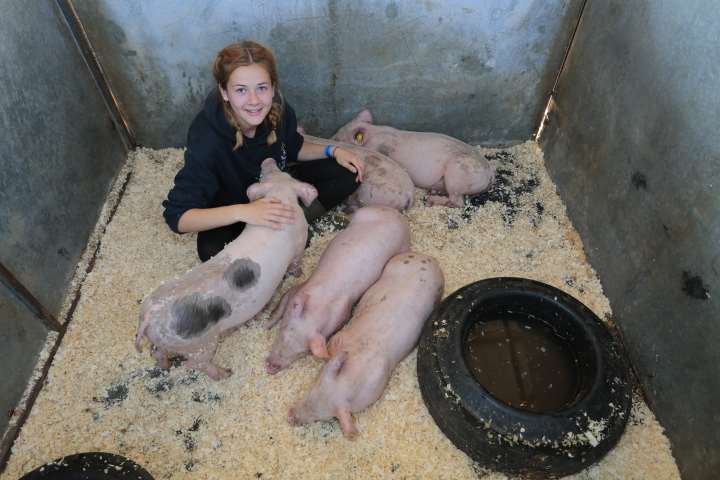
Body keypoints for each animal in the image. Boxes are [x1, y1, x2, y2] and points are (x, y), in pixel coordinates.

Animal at [135, 159, 316, 380]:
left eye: (279, 173)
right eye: (271, 175)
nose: (269, 160)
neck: (280, 196)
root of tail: (148, 317)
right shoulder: (299, 244)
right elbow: (296, 263)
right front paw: (298, 274)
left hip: (164, 340)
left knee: (156, 351)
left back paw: (166, 365)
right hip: (201, 345)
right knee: (195, 364)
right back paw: (226, 373)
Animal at [264, 204, 410, 374]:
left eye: (302, 352)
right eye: (283, 333)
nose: (271, 366)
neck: (321, 303)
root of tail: (399, 216)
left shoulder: (342, 314)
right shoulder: (300, 287)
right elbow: (281, 303)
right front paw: (266, 324)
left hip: (402, 247)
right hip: (368, 213)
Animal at [286, 251, 444, 438]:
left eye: (321, 417)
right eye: (311, 390)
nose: (290, 416)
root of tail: (429, 259)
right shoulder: (341, 337)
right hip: (395, 263)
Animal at [332, 109, 496, 207]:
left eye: (338, 137)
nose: (330, 138)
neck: (374, 134)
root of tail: (489, 175)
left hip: (458, 174)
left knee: (457, 201)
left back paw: (431, 200)